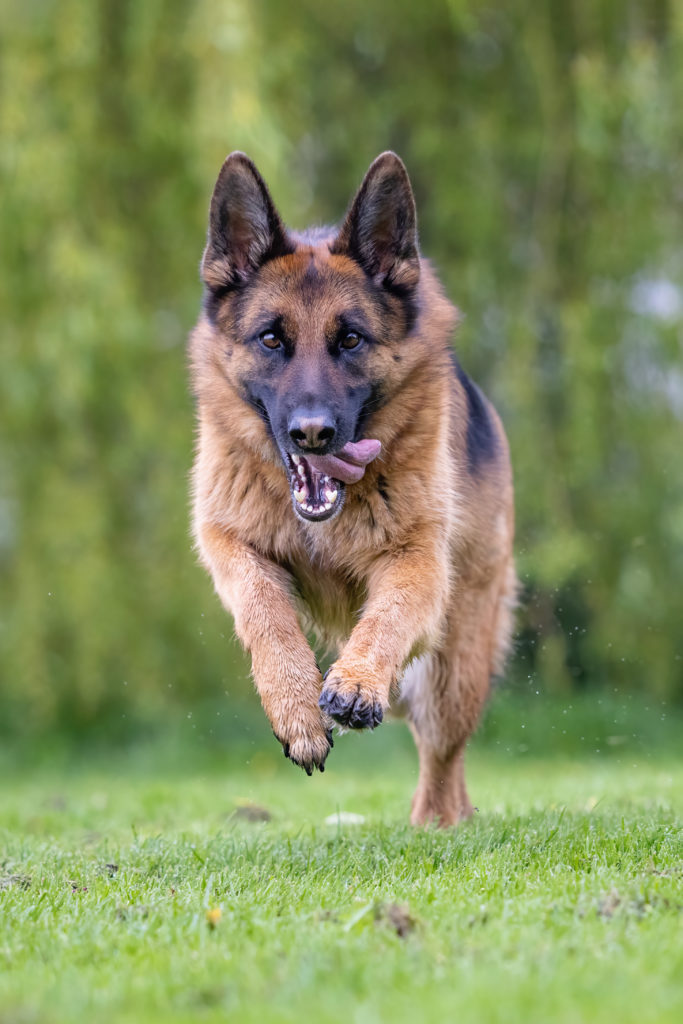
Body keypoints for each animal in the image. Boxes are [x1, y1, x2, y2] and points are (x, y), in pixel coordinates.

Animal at [189, 149, 516, 823]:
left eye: (350, 339)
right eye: (271, 338)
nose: (313, 433)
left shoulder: (419, 561)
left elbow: (387, 617)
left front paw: (357, 681)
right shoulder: (225, 539)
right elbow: (264, 610)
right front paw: (297, 711)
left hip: (457, 664)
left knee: (442, 753)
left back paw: (437, 823)